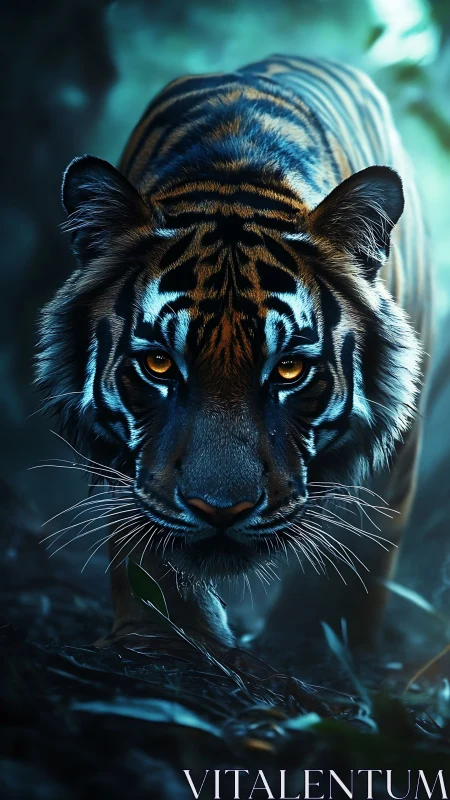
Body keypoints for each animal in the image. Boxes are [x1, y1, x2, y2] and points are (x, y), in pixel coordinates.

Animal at [36, 55, 432, 653]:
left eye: (290, 369)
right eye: (159, 364)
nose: (220, 510)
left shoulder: (397, 454)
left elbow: (365, 550)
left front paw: (323, 640)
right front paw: (162, 632)